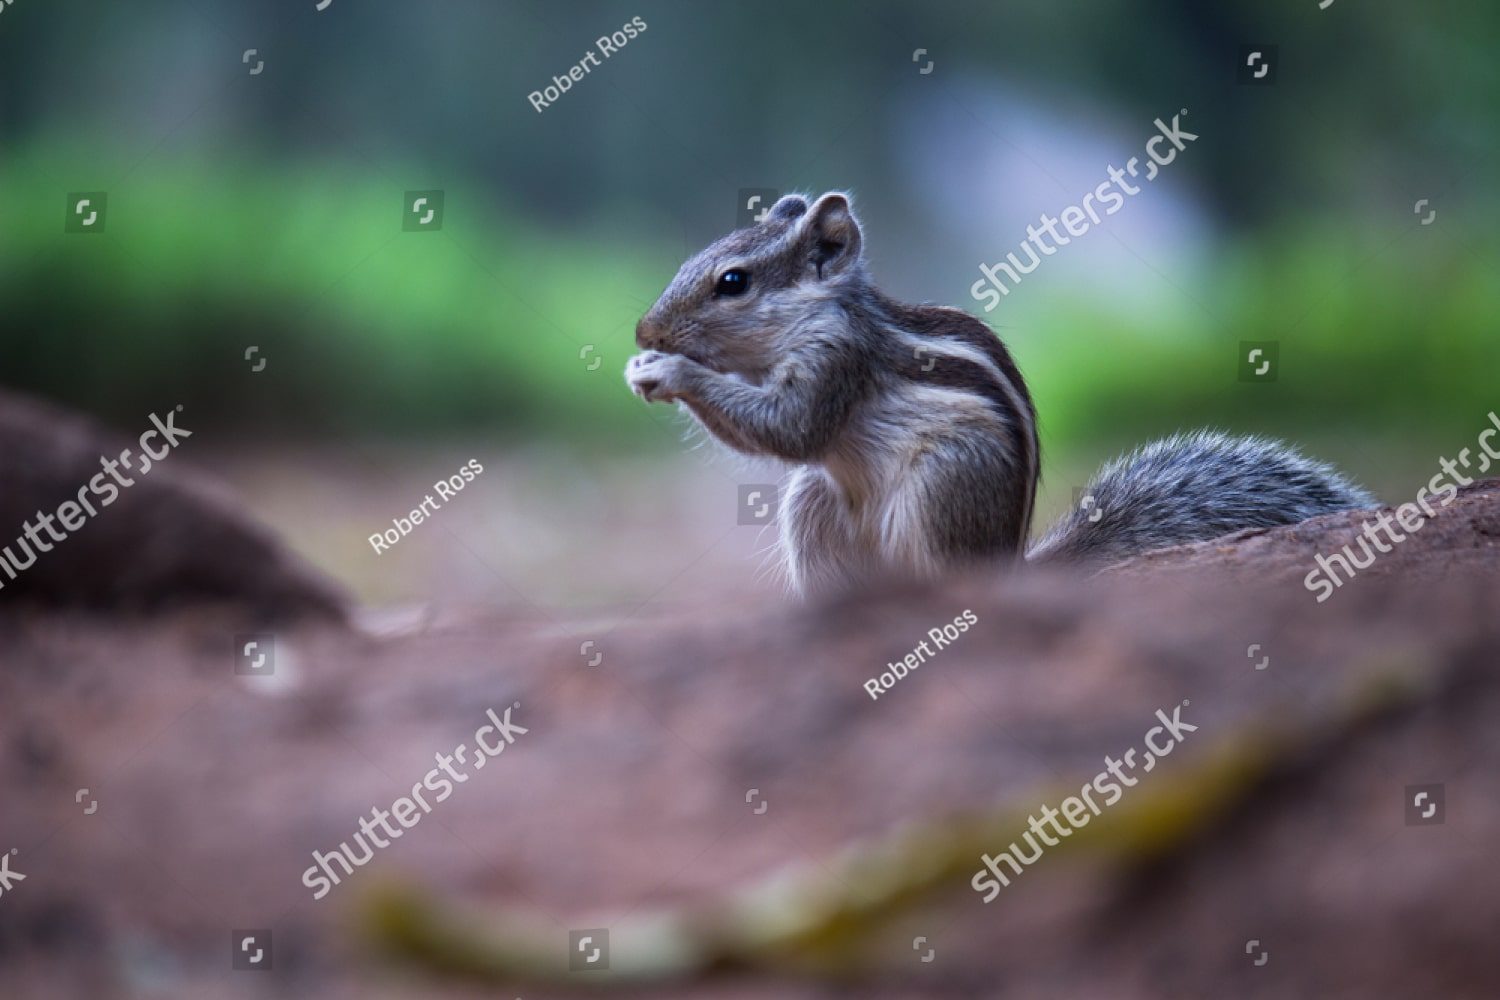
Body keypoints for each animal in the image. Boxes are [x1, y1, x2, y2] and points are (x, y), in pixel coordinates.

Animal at [625, 191, 1376, 595]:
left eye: (733, 282)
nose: (644, 329)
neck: (815, 314)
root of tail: (1009, 566)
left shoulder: (836, 358)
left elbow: (791, 427)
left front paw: (668, 372)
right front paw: (645, 366)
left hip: (944, 482)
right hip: (815, 503)